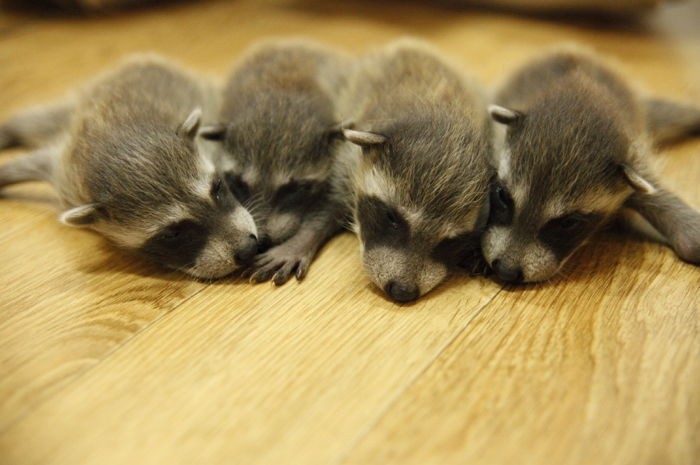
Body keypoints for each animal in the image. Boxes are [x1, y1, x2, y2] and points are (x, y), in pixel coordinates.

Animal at [0, 54, 258, 280]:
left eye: (217, 188)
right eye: (171, 233)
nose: (248, 249)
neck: (120, 140)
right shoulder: (66, 170)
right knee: (34, 123)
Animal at [201, 40, 350, 284]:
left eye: (295, 189)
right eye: (239, 183)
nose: (262, 241)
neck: (280, 89)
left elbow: (335, 204)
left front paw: (300, 241)